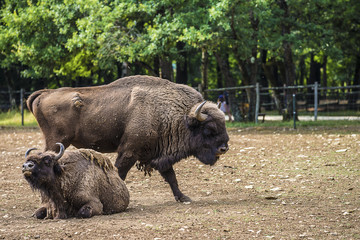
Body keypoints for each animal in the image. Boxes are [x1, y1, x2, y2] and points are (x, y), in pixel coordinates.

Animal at [26, 75, 229, 202]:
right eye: (209, 129)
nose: (224, 148)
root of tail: (45, 93)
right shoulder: (129, 152)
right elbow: (120, 173)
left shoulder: (157, 155)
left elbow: (171, 177)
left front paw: (183, 197)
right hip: (57, 141)